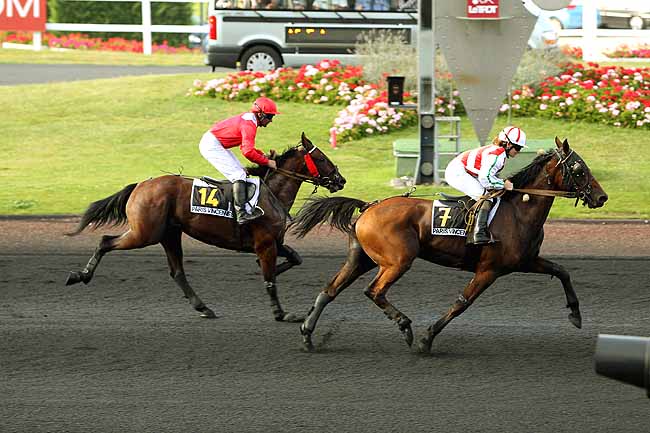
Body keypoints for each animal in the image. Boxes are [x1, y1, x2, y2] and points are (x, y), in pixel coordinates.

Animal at [66, 132, 344, 320]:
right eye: (321, 157)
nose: (341, 180)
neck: (271, 194)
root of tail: (141, 185)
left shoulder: (274, 242)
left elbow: (295, 258)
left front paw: (274, 271)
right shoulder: (265, 244)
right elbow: (269, 281)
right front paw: (281, 313)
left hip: (169, 234)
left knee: (177, 272)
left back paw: (203, 307)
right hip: (145, 233)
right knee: (106, 241)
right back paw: (80, 275)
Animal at [294, 138, 608, 352]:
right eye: (579, 169)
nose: (602, 197)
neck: (518, 210)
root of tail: (369, 206)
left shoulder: (526, 261)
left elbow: (562, 271)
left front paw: (576, 315)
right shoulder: (489, 270)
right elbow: (461, 304)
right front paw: (426, 339)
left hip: (362, 258)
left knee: (330, 289)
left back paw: (308, 333)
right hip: (398, 260)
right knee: (374, 291)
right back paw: (405, 326)